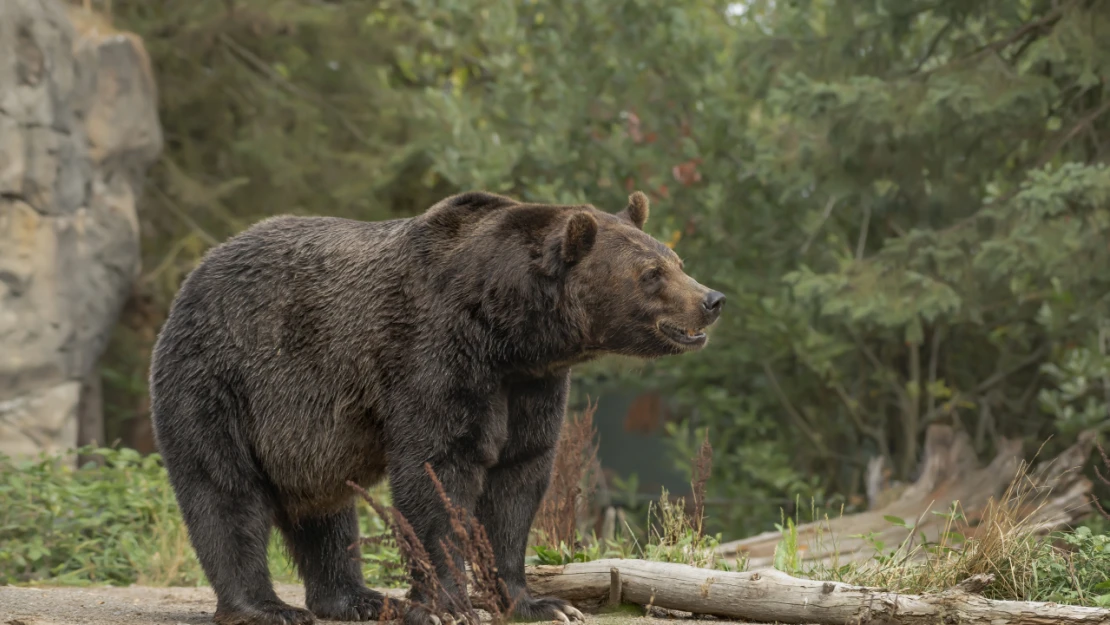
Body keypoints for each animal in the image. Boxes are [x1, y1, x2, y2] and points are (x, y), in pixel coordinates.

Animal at [147, 192, 723, 625]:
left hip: (304, 438)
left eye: (677, 262)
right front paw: (448, 603)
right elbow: (437, 472)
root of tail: (195, 274)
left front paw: (540, 602)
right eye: (651, 272)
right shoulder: (435, 353)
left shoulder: (530, 386)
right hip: (222, 379)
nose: (711, 299)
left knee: (326, 513)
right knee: (224, 492)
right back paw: (266, 607)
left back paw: (358, 598)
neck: (508, 331)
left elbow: (518, 481)